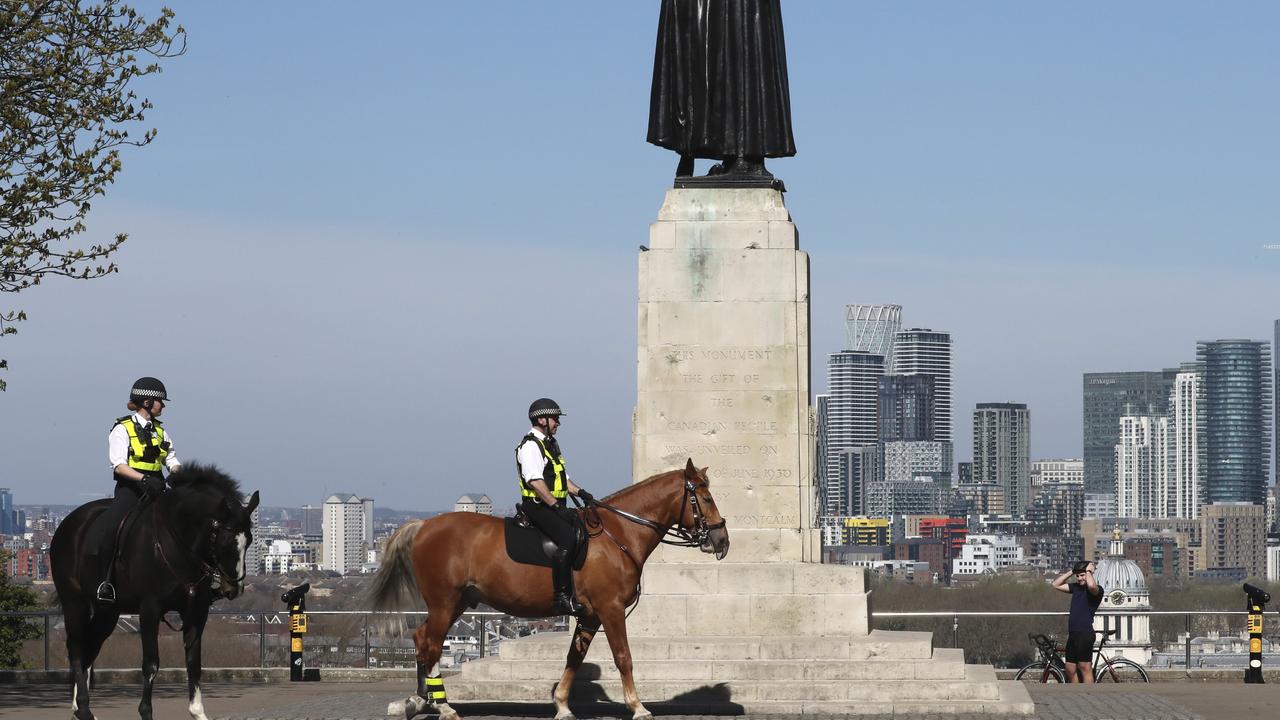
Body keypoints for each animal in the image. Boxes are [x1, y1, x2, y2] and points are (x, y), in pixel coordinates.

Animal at [371, 458, 732, 717]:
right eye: (705, 497)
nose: (722, 541)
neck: (618, 534)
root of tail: (425, 525)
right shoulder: (611, 609)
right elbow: (623, 657)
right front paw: (638, 707)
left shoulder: (591, 615)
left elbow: (574, 657)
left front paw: (561, 705)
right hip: (444, 603)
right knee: (430, 644)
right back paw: (442, 706)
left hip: (457, 603)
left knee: (422, 640)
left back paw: (423, 701)